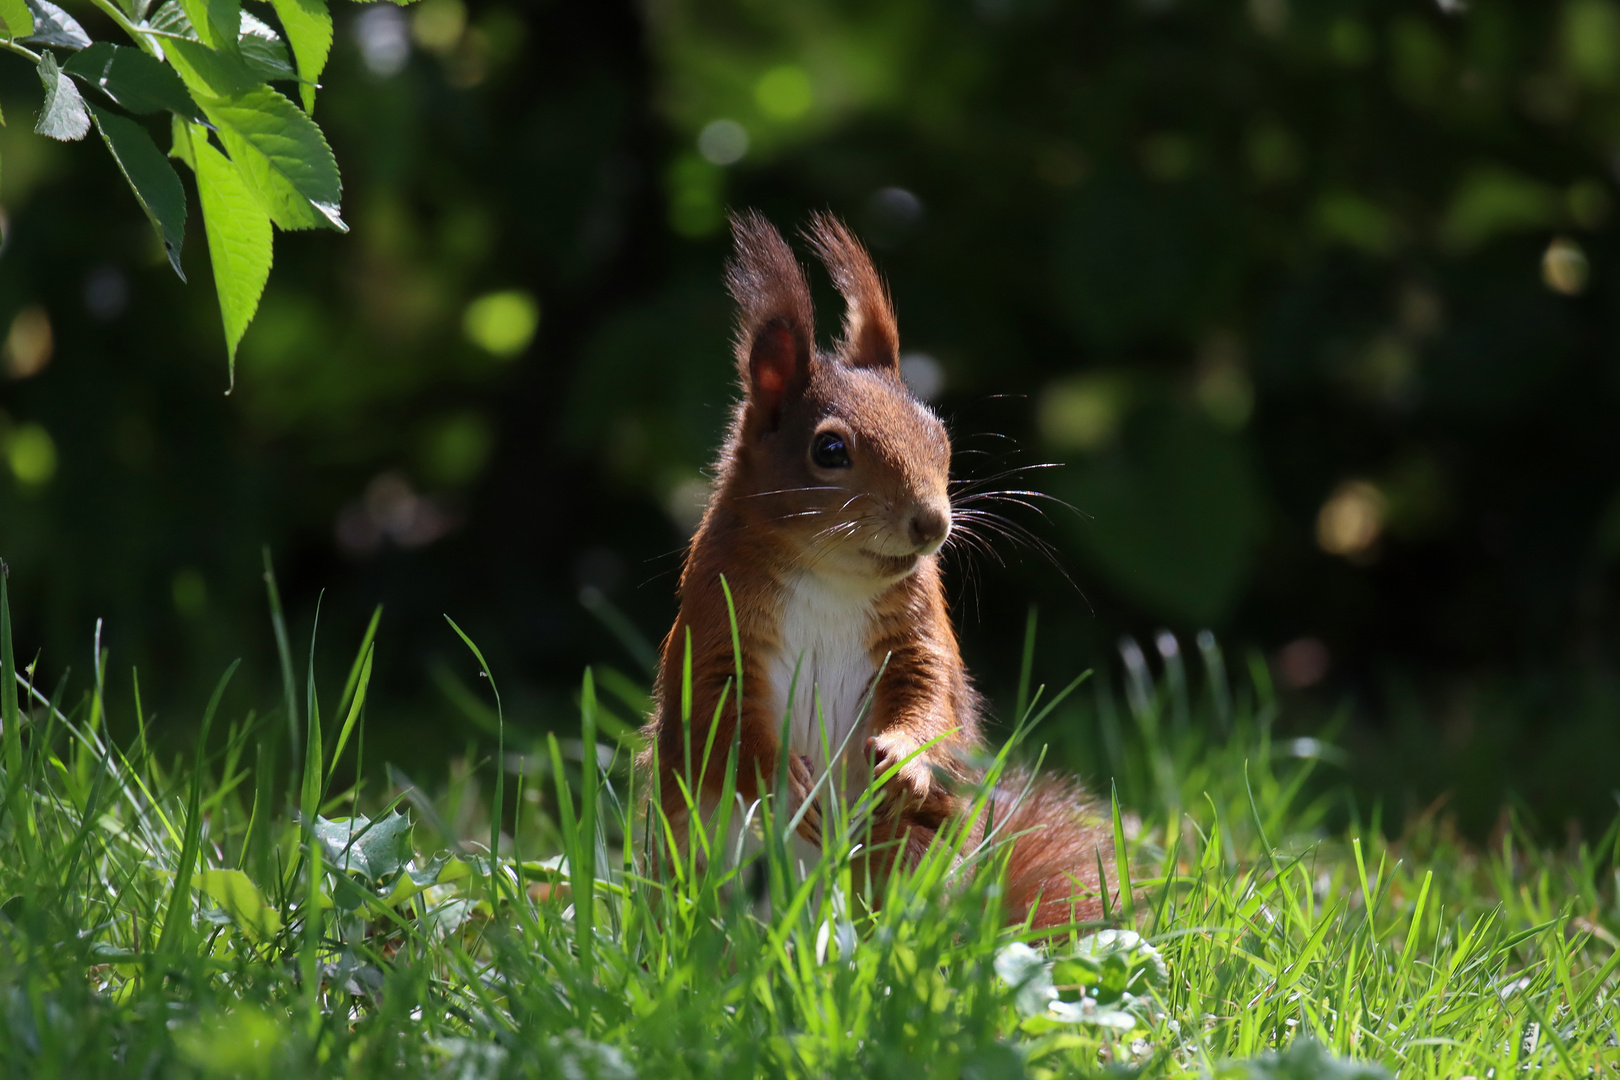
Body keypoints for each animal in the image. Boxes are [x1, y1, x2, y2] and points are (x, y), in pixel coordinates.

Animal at [638, 210, 1108, 932]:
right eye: (829, 450)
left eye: (939, 436)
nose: (932, 523)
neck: (830, 577)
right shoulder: (714, 629)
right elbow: (719, 720)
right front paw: (784, 785)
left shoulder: (917, 635)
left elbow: (929, 698)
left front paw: (906, 765)